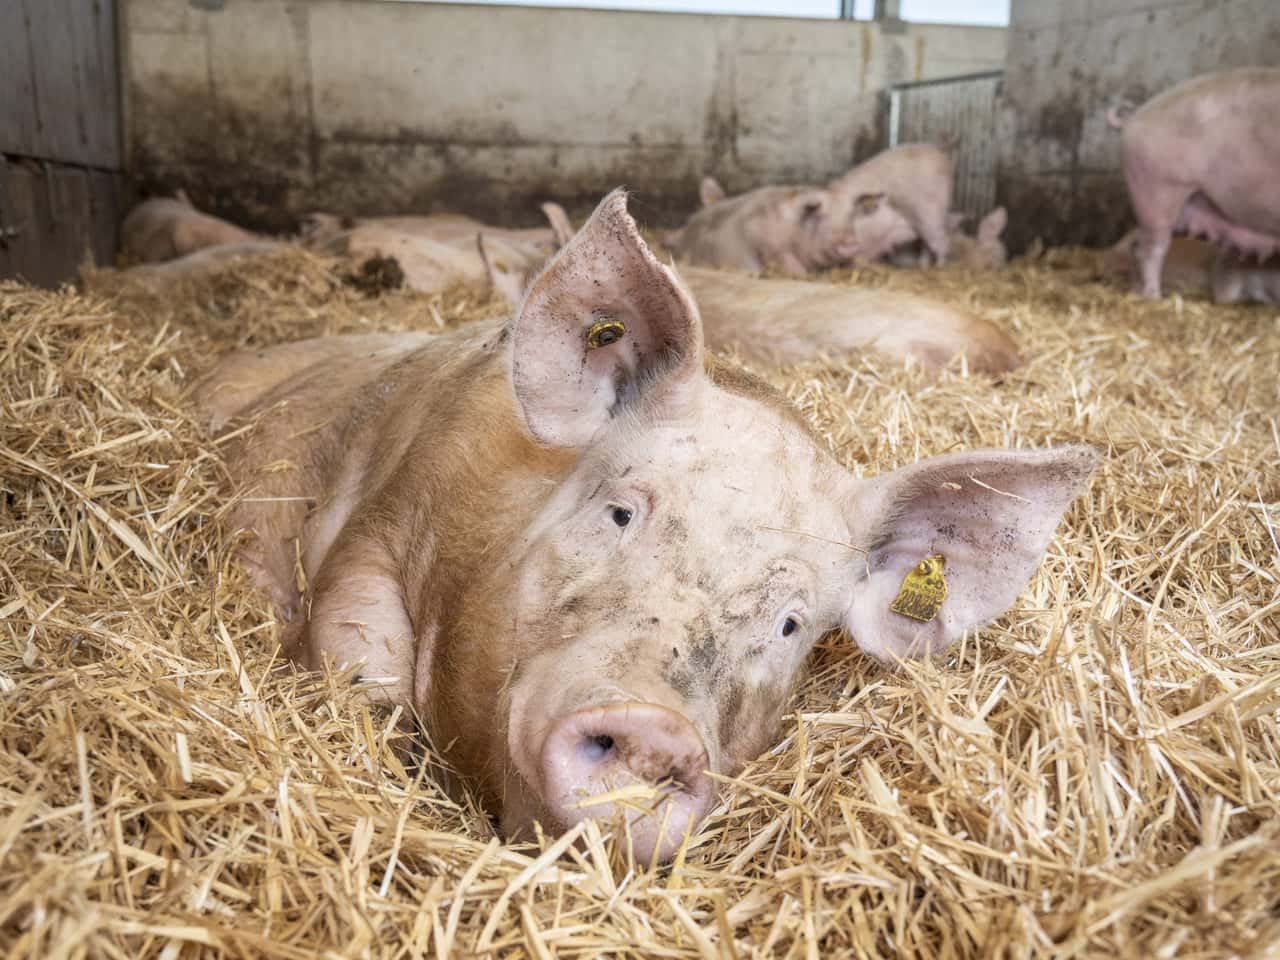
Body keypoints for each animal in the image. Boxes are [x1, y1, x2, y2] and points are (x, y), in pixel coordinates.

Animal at [662, 182, 858, 276]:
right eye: (819, 215)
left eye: (850, 215)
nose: (849, 241)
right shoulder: (763, 239)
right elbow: (787, 261)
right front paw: (802, 274)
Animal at [1107, 68, 1280, 298]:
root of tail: (1134, 117)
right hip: (1158, 193)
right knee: (1150, 250)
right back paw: (1154, 297)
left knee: (1136, 247)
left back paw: (1138, 292)